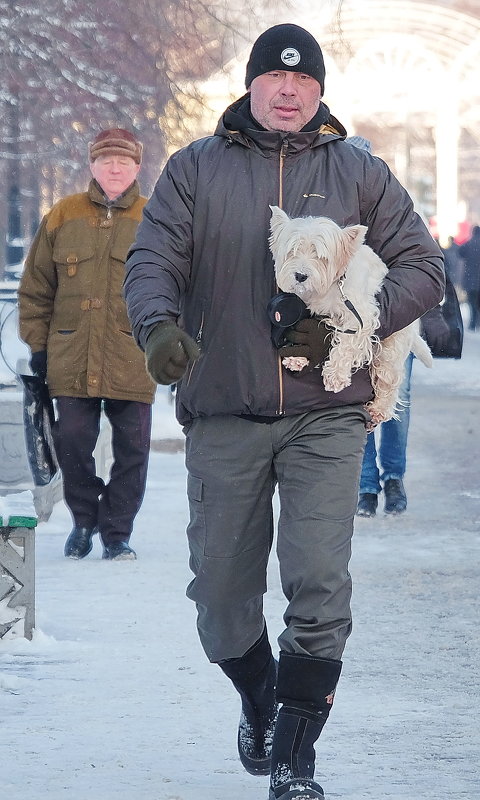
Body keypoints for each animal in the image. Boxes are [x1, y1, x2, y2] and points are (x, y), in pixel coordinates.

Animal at [268, 209, 434, 428]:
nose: (300, 276)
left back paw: (379, 410)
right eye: (292, 252)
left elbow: (347, 344)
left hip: (391, 348)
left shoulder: (360, 315)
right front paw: (298, 357)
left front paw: (335, 375)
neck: (332, 286)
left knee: (388, 381)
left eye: (321, 256)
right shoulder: (308, 311)